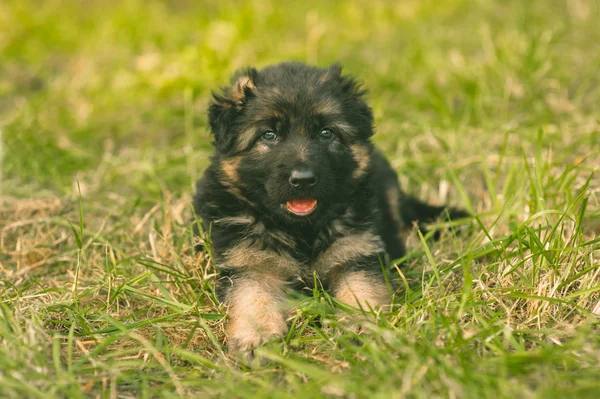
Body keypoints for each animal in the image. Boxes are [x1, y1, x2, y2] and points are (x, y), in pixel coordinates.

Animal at [195, 62, 466, 356]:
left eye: (327, 133)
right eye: (269, 135)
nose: (303, 179)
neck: (302, 231)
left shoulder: (356, 255)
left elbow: (362, 291)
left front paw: (360, 327)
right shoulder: (251, 265)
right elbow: (253, 297)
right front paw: (257, 337)